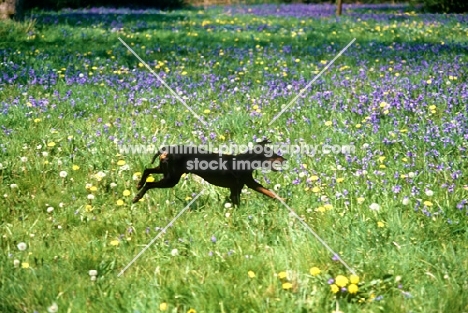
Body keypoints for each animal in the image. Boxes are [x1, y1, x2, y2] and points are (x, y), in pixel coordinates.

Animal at [133, 140, 288, 205]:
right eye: (273, 154)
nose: (284, 159)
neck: (245, 160)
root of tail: (166, 151)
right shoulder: (238, 187)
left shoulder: (245, 185)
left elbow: (270, 192)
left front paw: (284, 201)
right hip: (171, 180)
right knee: (149, 184)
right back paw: (137, 197)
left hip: (166, 172)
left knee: (147, 170)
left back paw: (139, 185)